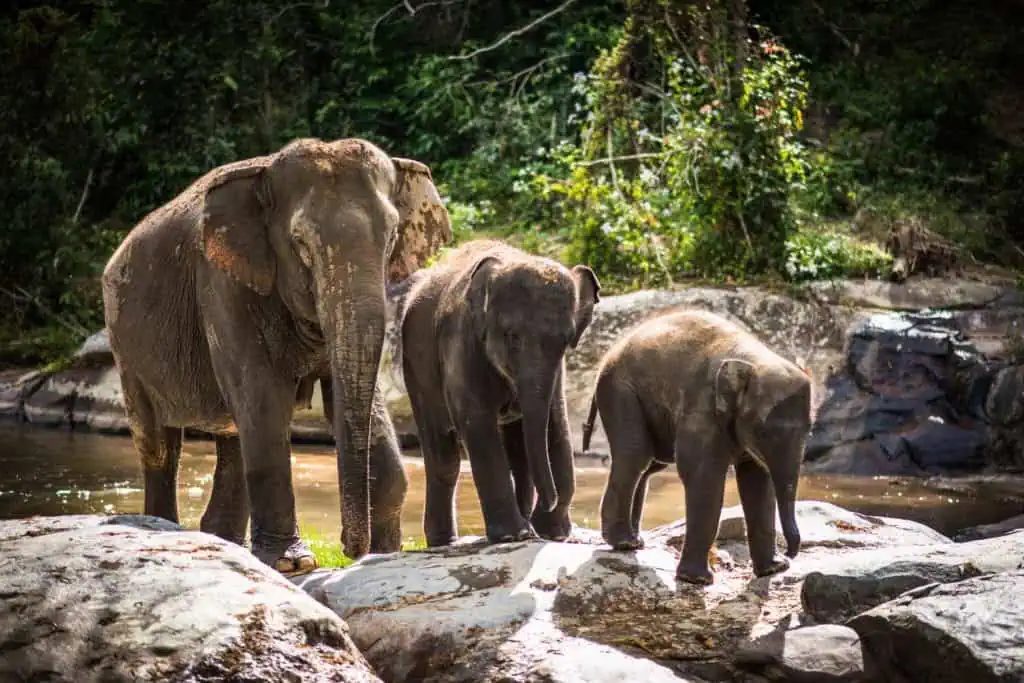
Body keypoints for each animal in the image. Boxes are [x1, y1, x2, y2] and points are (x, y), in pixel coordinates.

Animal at [101, 139, 450, 577]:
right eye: (300, 243)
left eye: (391, 240)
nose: (349, 549)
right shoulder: (221, 283)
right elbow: (264, 398)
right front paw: (292, 564)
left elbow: (357, 403)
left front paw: (385, 554)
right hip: (125, 342)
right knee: (159, 443)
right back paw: (164, 526)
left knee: (233, 435)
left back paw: (224, 541)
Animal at [401, 242, 598, 548]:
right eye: (512, 336)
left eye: (566, 341)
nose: (550, 503)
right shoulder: (462, 343)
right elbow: (477, 421)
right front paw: (514, 535)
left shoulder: (557, 372)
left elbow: (556, 423)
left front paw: (553, 533)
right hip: (415, 366)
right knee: (444, 458)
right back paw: (444, 542)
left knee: (518, 452)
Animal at [585, 309, 806, 581]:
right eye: (762, 432)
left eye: (809, 430)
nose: (790, 555)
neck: (752, 359)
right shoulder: (702, 407)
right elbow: (703, 474)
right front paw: (697, 580)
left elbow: (757, 479)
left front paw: (773, 569)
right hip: (619, 390)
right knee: (636, 454)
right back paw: (624, 543)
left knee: (651, 463)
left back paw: (634, 541)